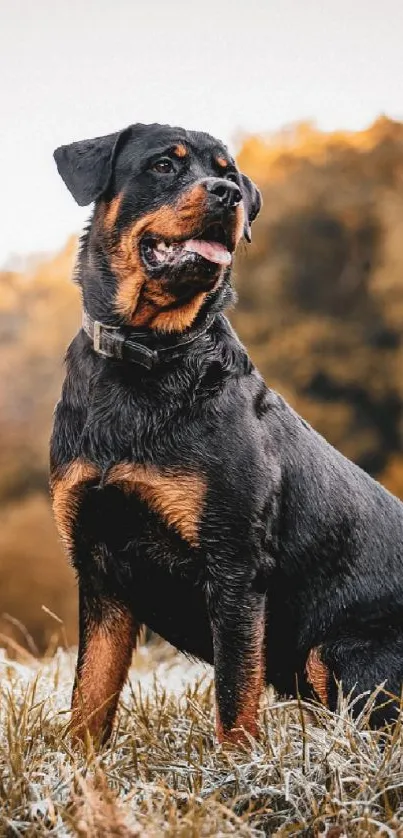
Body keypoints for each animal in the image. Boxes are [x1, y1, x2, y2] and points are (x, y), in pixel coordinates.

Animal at [51, 121, 403, 744]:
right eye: (164, 165)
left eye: (229, 173)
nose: (229, 194)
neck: (149, 354)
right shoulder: (98, 567)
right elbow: (89, 697)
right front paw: (79, 769)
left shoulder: (235, 563)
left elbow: (235, 700)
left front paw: (238, 768)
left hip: (338, 649)